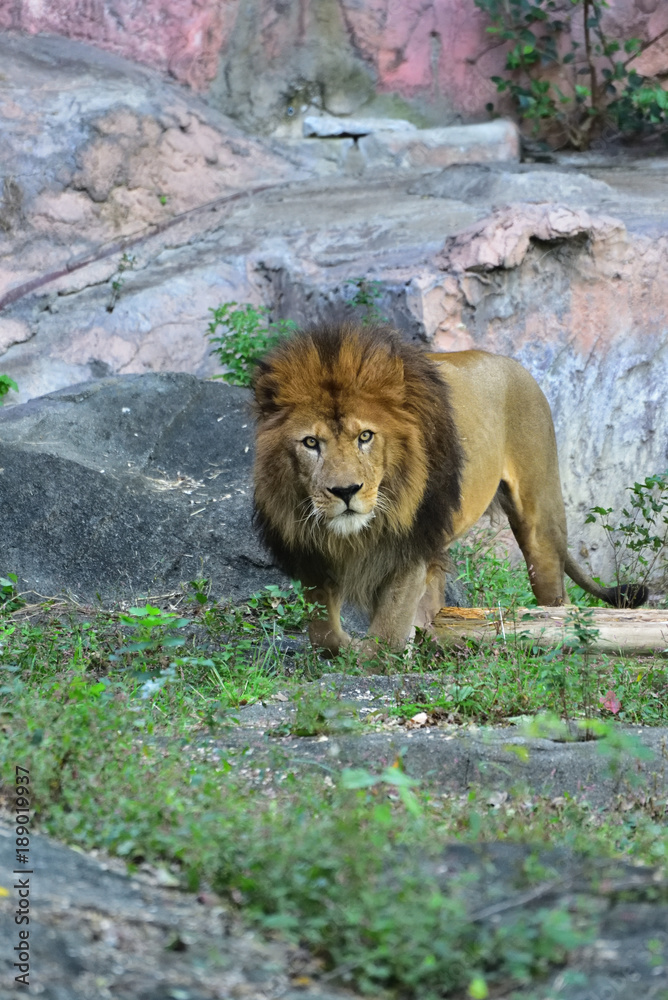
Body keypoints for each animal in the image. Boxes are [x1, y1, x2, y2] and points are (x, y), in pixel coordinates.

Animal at [252, 322, 647, 656]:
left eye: (365, 436)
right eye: (311, 443)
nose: (346, 491)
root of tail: (511, 363)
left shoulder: (410, 542)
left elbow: (387, 634)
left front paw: (376, 654)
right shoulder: (309, 549)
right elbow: (323, 633)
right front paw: (353, 646)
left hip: (540, 519)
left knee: (557, 603)